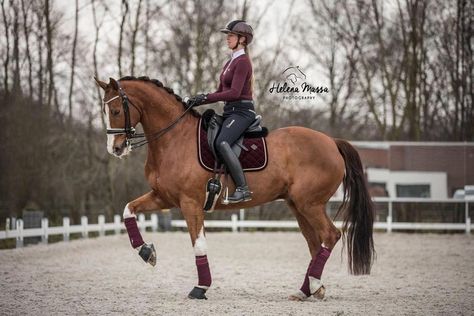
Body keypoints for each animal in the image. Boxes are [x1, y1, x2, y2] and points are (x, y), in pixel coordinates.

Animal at [95, 76, 374, 302]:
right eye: (106, 110)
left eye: (117, 110)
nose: (115, 149)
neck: (174, 139)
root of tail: (332, 142)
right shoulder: (164, 198)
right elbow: (128, 210)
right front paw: (146, 252)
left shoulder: (190, 203)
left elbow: (199, 245)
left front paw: (200, 288)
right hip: (298, 206)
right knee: (315, 243)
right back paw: (308, 290)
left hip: (310, 204)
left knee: (330, 235)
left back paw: (314, 286)